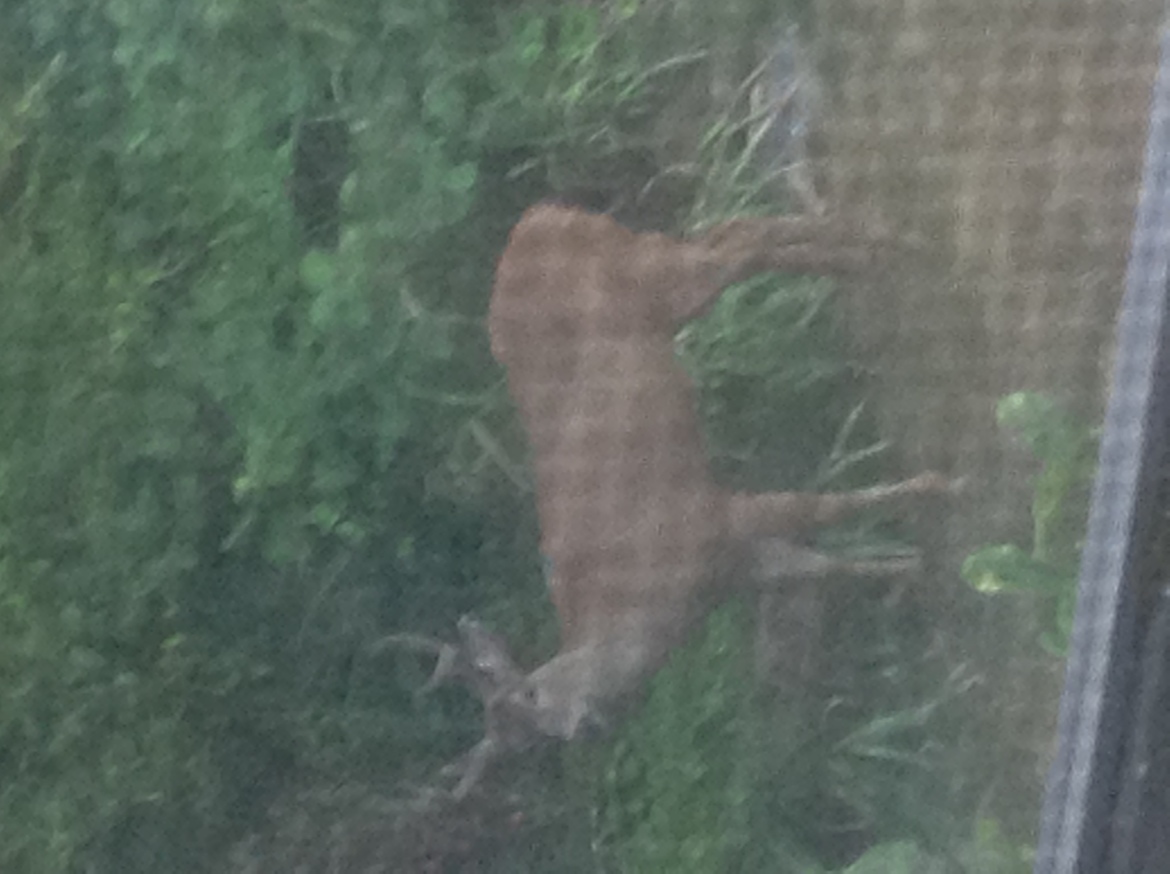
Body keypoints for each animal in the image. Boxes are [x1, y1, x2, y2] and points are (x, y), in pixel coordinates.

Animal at [377, 202, 957, 800]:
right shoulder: (738, 564)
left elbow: (827, 508)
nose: (586, 728)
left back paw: (887, 246)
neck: (652, 598)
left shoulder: (716, 515)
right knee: (735, 237)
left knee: (739, 241)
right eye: (525, 743)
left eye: (532, 697)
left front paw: (943, 485)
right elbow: (830, 565)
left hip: (654, 279)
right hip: (657, 279)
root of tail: (537, 218)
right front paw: (918, 573)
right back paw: (872, 253)